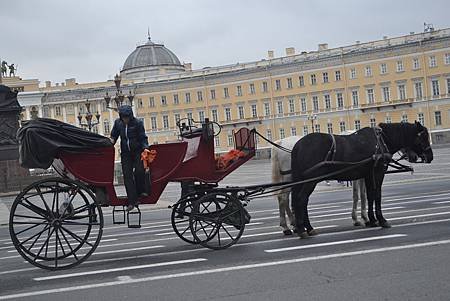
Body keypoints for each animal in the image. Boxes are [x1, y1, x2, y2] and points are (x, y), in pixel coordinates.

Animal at [290, 121, 434, 237]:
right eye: (423, 137)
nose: (430, 156)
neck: (381, 141)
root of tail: (297, 145)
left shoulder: (368, 175)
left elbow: (370, 196)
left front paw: (372, 220)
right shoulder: (378, 173)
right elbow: (377, 196)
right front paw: (382, 220)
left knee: (300, 200)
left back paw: (306, 228)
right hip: (311, 180)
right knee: (302, 199)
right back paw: (304, 229)